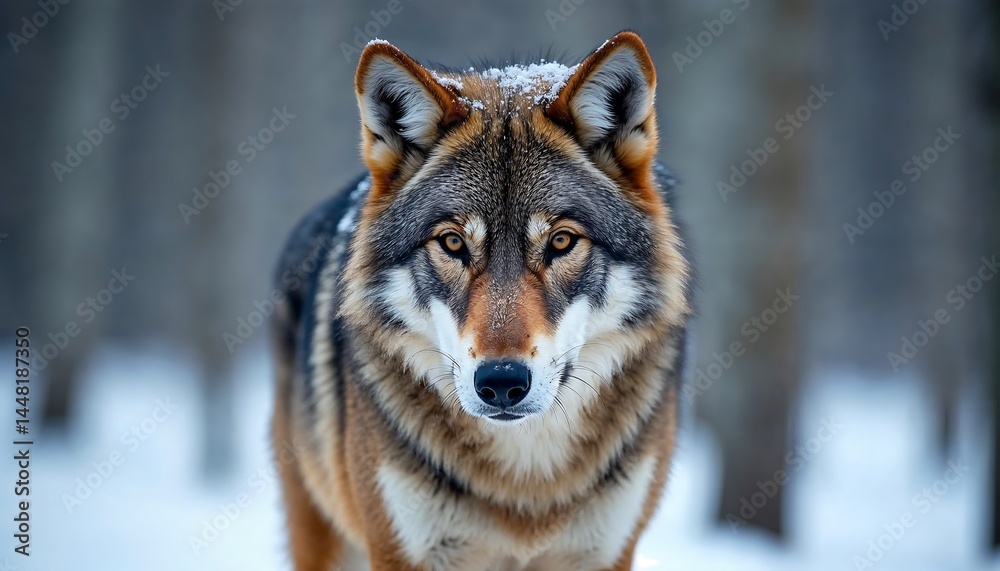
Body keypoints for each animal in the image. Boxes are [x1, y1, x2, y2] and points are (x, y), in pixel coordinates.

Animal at [270, 31, 693, 571]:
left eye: (560, 241)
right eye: (453, 243)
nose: (502, 383)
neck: (525, 480)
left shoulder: (607, 553)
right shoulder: (402, 553)